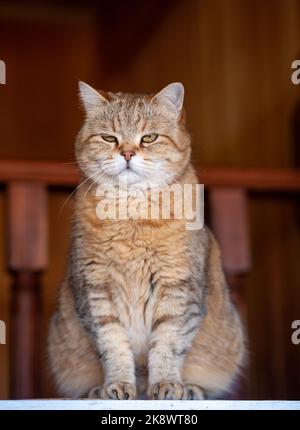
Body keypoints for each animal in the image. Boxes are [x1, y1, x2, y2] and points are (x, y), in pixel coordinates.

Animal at [48, 81, 245, 400]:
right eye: (109, 138)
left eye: (149, 138)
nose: (127, 153)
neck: (133, 215)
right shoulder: (96, 292)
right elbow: (113, 347)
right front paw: (116, 386)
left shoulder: (178, 289)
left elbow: (167, 345)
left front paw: (166, 384)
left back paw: (190, 388)